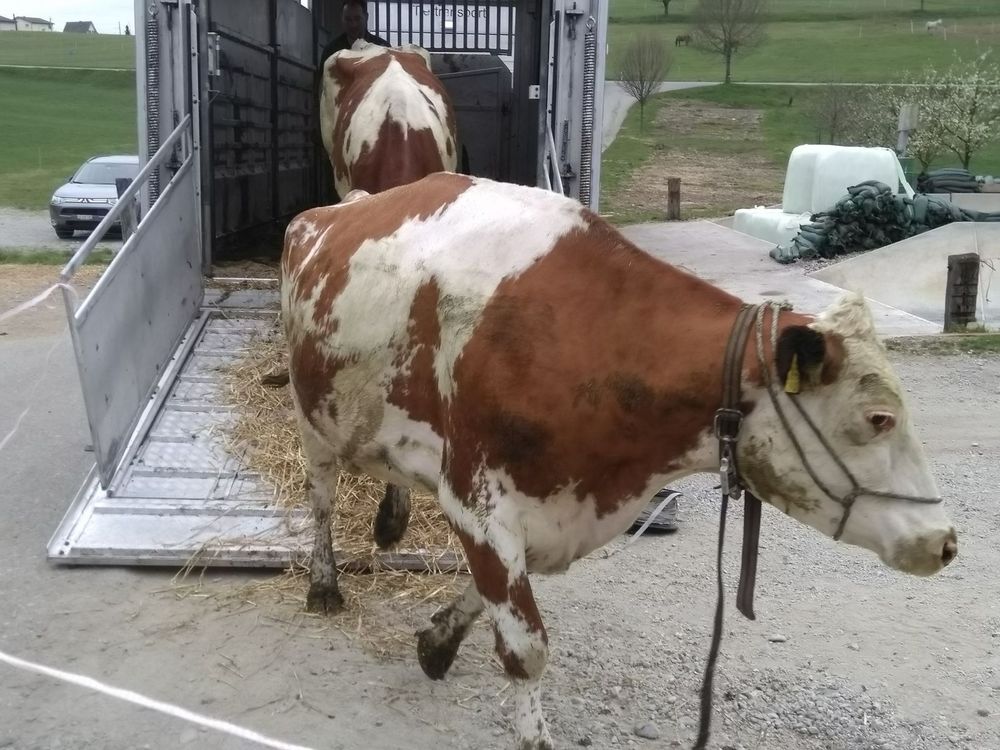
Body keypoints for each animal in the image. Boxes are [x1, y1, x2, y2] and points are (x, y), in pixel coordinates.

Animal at [279, 173, 958, 750]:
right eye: (878, 419)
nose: (945, 541)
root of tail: (335, 208)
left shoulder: (554, 511)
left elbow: (485, 593)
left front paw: (437, 644)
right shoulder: (477, 500)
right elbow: (525, 646)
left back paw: (390, 523)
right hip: (313, 416)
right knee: (322, 499)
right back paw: (324, 585)